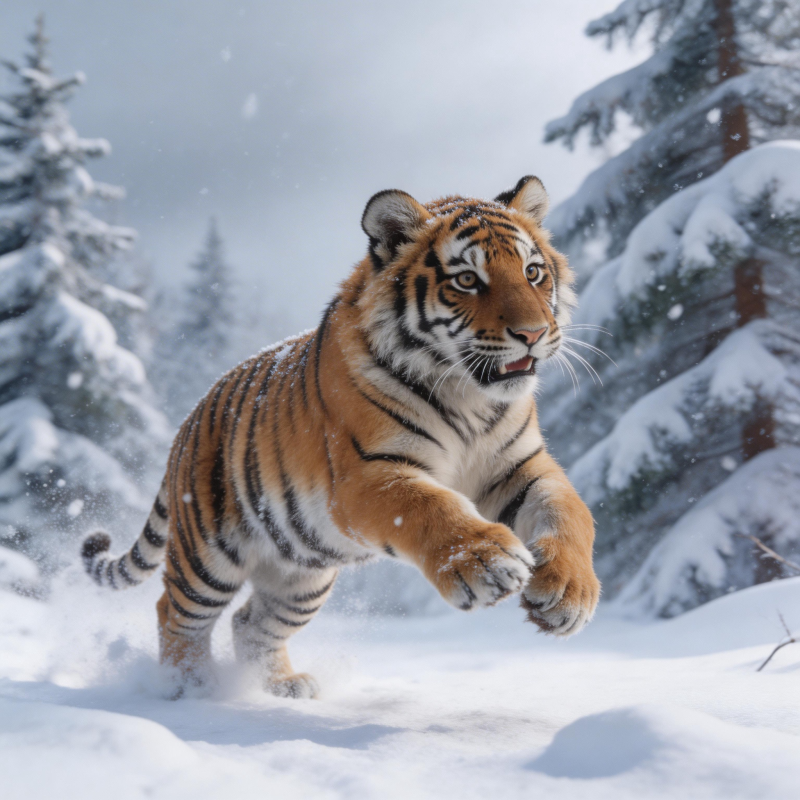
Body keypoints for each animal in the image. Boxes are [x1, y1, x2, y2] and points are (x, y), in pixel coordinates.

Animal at [82, 176, 600, 699]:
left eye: (533, 272)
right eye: (467, 280)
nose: (533, 333)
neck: (469, 398)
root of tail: (188, 420)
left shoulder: (519, 468)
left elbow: (571, 510)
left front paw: (569, 592)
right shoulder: (366, 475)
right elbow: (429, 505)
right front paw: (483, 562)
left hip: (301, 576)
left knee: (251, 621)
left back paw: (282, 685)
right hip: (208, 553)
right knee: (175, 612)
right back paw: (187, 687)